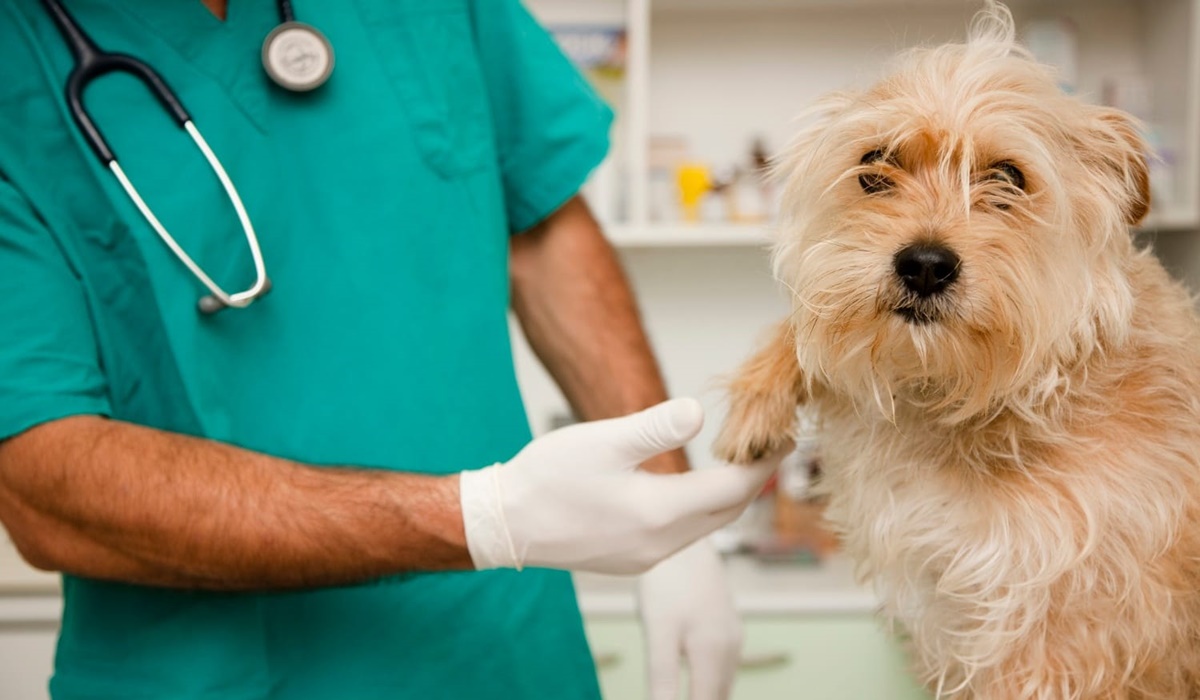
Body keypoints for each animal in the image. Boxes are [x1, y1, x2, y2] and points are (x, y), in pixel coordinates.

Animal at [715, 2, 1200, 696]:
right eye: (876, 165)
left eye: (1008, 178)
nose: (923, 265)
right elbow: (813, 324)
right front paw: (757, 401)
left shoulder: (1063, 639)